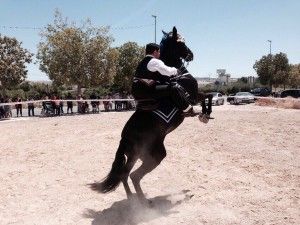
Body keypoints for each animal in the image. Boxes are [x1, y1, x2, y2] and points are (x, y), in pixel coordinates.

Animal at [89, 25, 213, 206]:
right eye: (181, 42)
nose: (191, 54)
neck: (176, 76)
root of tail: (124, 139)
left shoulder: (195, 95)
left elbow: (208, 95)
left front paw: (204, 114)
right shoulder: (191, 95)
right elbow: (207, 96)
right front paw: (203, 114)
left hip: (135, 157)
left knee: (124, 174)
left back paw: (132, 199)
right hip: (156, 155)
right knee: (134, 176)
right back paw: (144, 203)